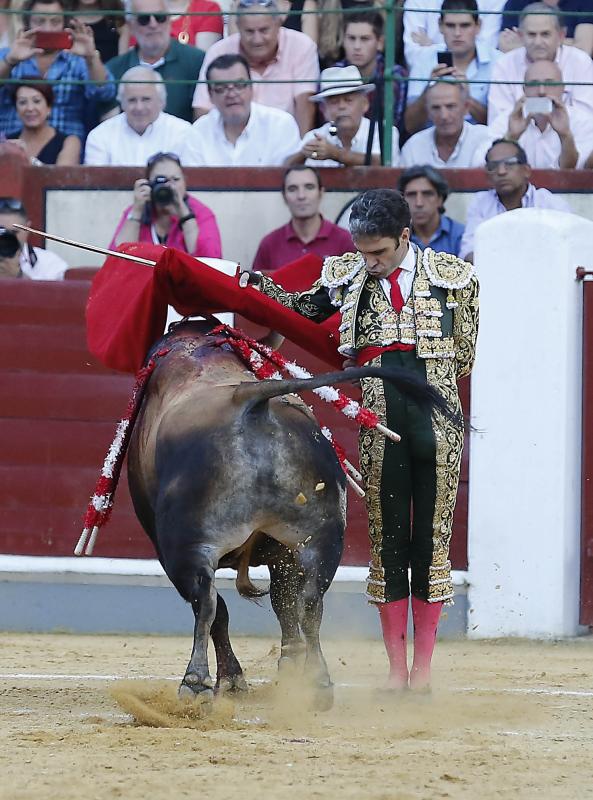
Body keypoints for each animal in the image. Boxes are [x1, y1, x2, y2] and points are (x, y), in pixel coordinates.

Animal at [128, 318, 454, 708]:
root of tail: (250, 402)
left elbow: (225, 609)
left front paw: (234, 680)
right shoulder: (281, 551)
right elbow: (284, 601)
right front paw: (290, 666)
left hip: (188, 549)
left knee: (207, 602)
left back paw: (195, 685)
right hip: (322, 539)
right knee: (310, 602)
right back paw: (318, 683)